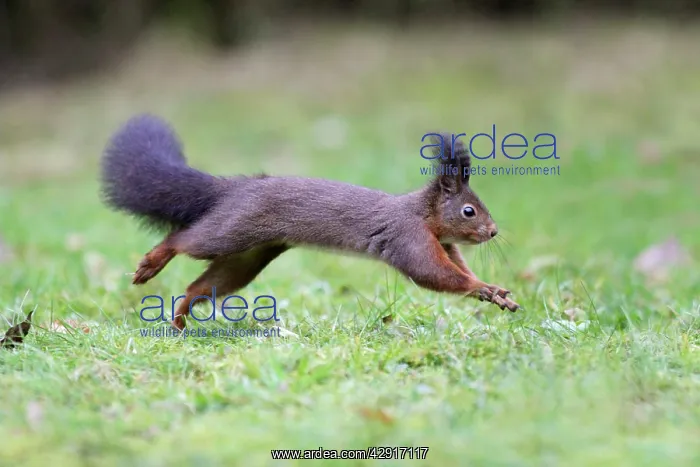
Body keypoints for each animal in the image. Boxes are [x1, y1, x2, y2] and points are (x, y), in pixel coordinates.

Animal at [100, 114, 520, 330]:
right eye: (469, 211)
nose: (493, 232)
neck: (424, 214)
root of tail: (235, 187)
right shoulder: (408, 237)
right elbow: (434, 273)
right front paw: (481, 287)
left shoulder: (443, 242)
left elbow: (455, 267)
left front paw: (494, 291)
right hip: (229, 232)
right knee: (183, 238)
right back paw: (151, 264)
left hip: (248, 257)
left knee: (201, 285)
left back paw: (179, 319)